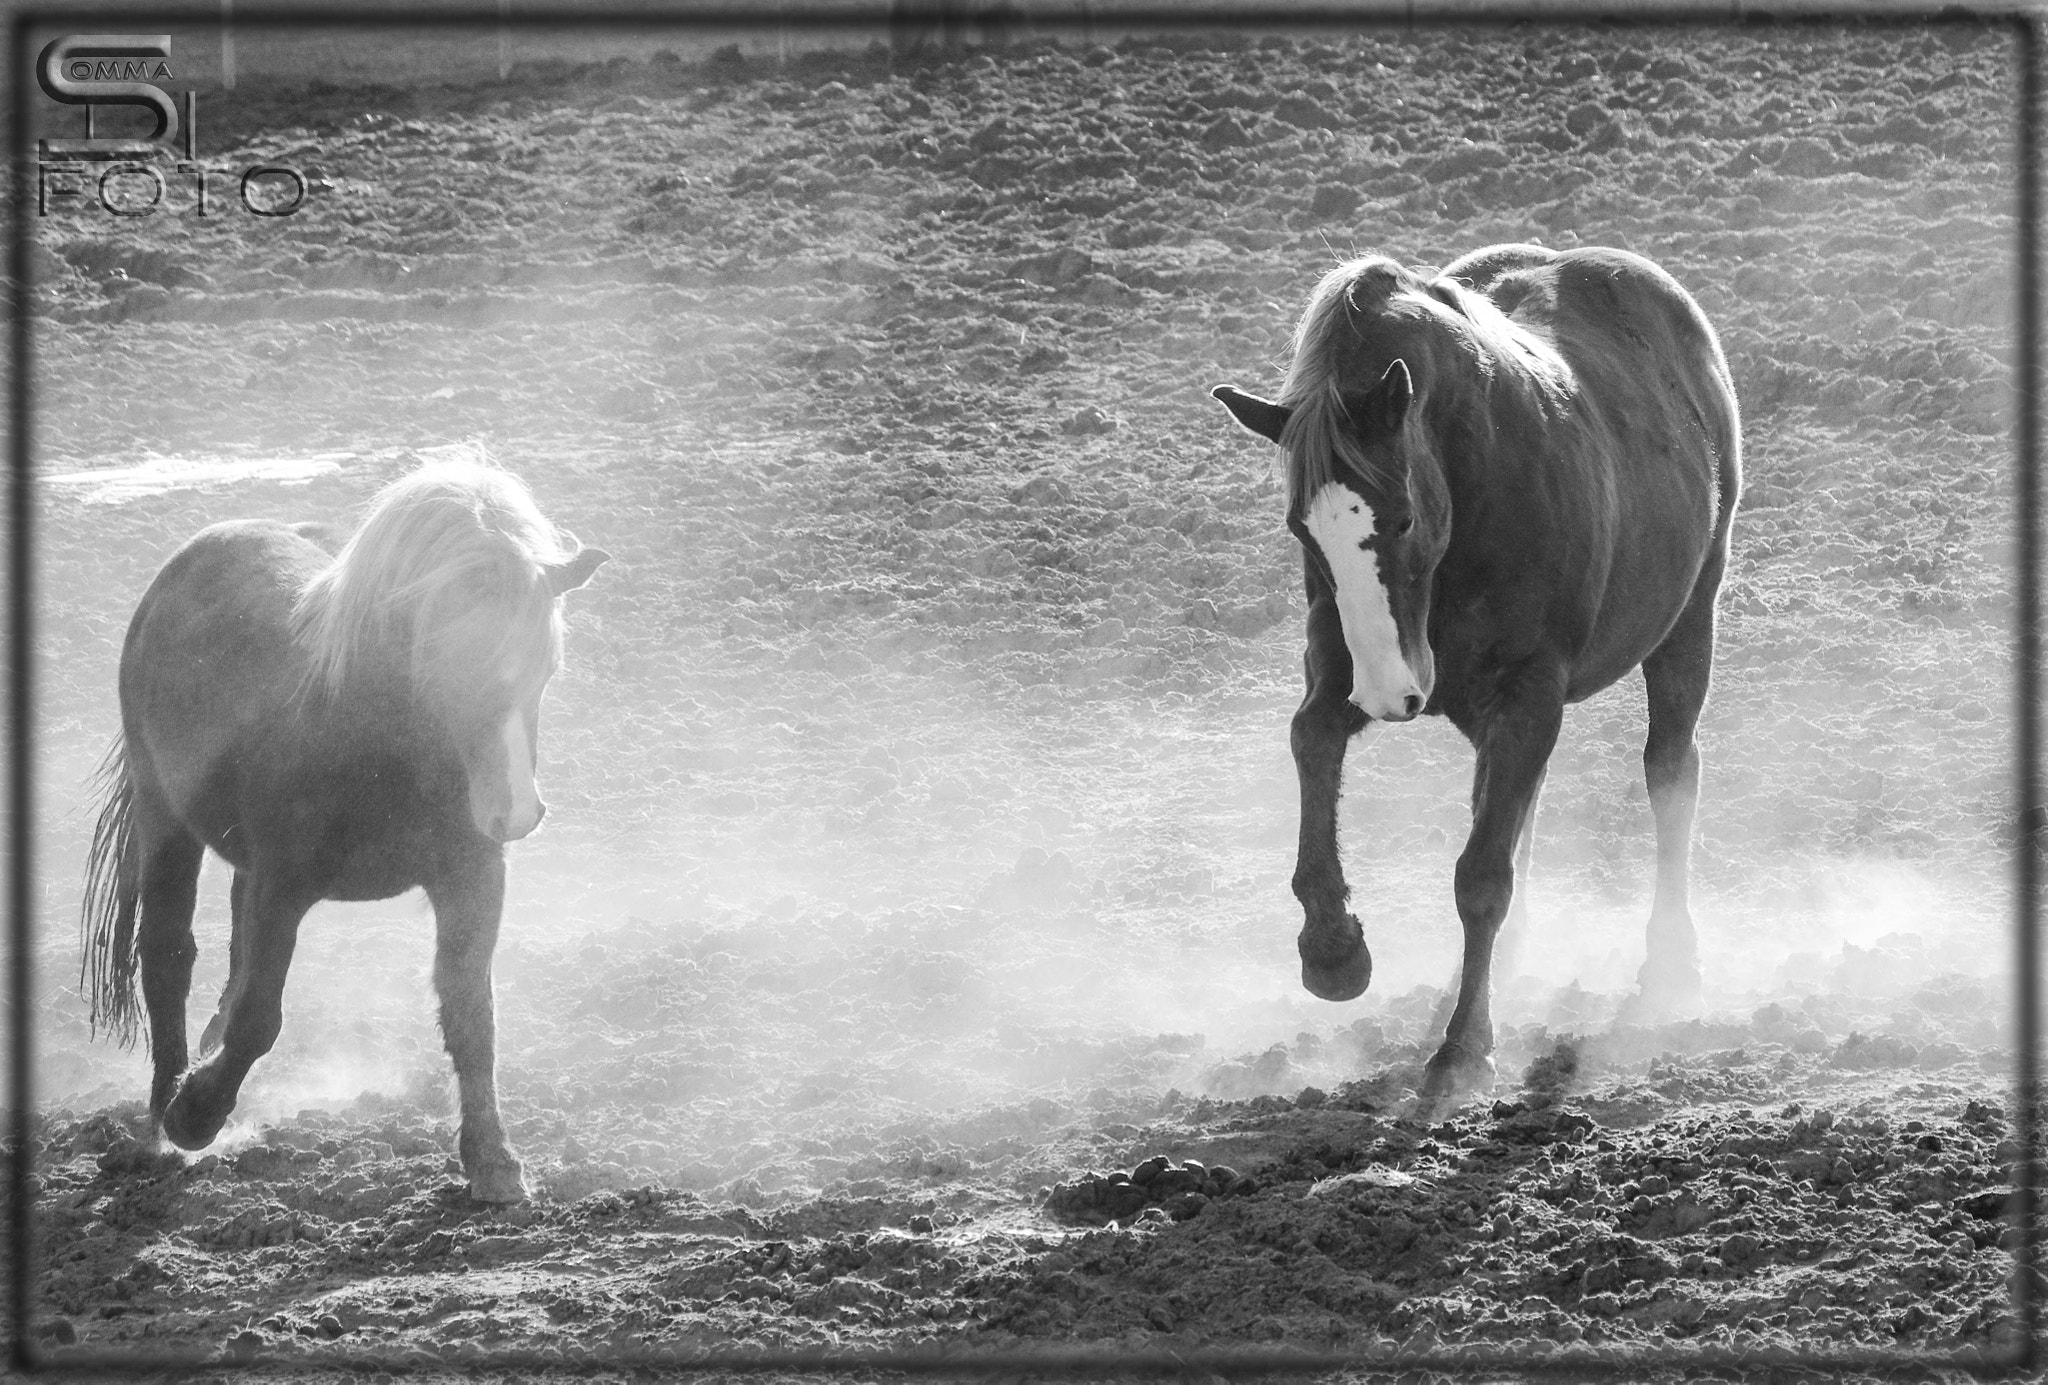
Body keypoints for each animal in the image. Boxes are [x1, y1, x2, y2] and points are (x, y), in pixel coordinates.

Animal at [79, 455, 608, 1202]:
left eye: (546, 665)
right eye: (450, 663)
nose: (514, 812)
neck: (368, 728)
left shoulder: (473, 878)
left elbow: (471, 1012)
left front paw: (493, 1161)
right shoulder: (284, 884)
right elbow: (259, 1017)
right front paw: (195, 1114)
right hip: (165, 818)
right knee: (168, 956)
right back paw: (162, 1118)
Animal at [1213, 243, 1740, 1106]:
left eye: (1400, 518)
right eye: (1302, 529)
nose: (1389, 695)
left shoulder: (1528, 693)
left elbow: (1482, 878)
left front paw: (1462, 1050)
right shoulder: (1346, 661)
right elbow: (1313, 737)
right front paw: (1333, 948)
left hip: (1691, 616)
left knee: (1670, 773)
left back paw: (1669, 963)